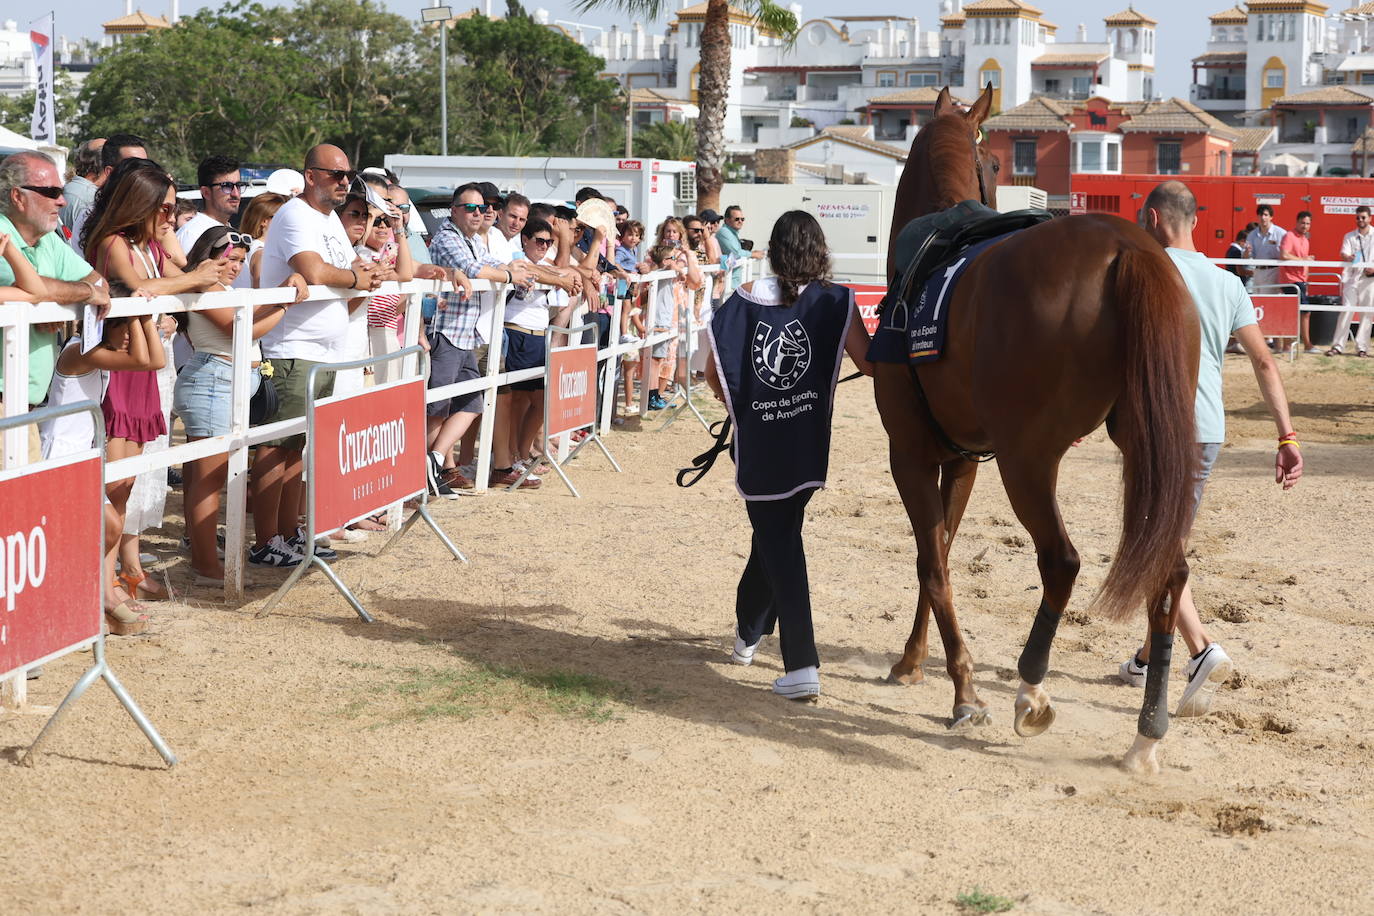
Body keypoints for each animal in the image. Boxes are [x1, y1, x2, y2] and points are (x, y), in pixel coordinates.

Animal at [876, 85, 1201, 773]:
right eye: (997, 162)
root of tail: (1128, 247)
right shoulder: (962, 459)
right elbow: (940, 552)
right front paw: (916, 660)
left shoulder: (911, 455)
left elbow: (931, 560)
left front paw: (964, 689)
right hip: (1145, 452)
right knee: (1169, 572)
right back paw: (1147, 731)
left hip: (1029, 460)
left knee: (1061, 561)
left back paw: (1030, 688)